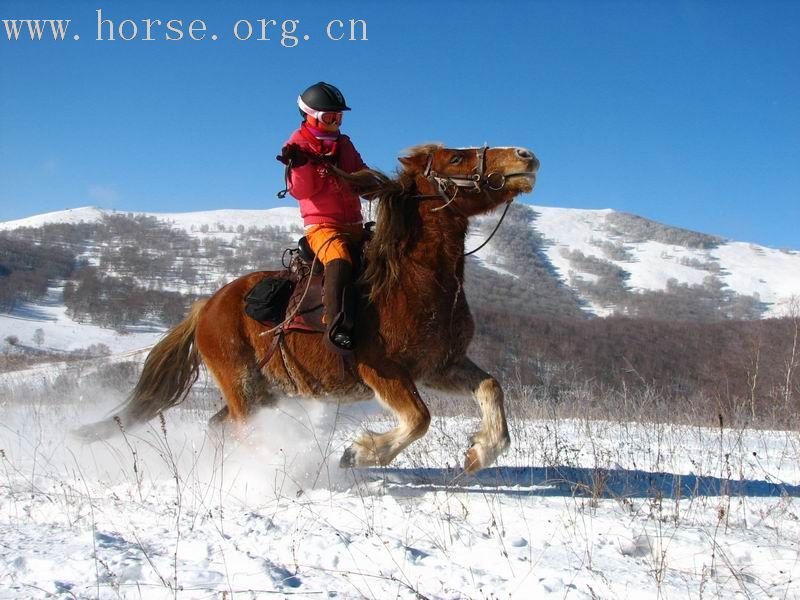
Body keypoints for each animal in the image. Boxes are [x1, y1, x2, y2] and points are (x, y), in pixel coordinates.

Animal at [79, 143, 536, 472]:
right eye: (457, 157)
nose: (525, 156)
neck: (415, 282)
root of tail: (206, 305)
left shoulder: (441, 366)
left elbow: (491, 389)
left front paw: (479, 453)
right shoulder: (383, 371)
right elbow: (419, 418)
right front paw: (360, 452)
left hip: (263, 391)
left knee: (219, 426)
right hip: (243, 387)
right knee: (243, 431)